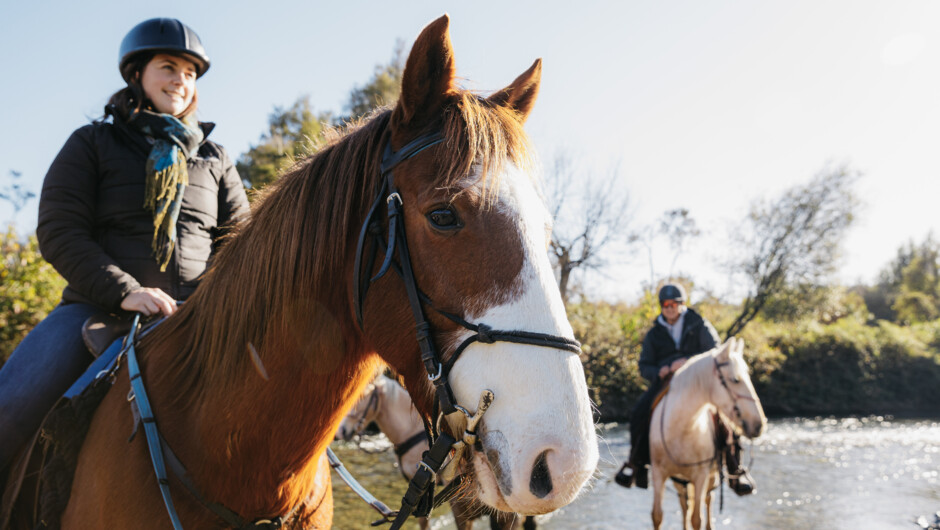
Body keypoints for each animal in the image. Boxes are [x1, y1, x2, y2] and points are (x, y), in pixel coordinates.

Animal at [648, 338, 768, 528]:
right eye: (735, 379)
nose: (759, 424)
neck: (683, 430)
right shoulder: (659, 473)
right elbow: (658, 516)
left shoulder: (700, 475)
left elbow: (697, 518)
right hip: (680, 479)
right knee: (684, 503)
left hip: (710, 475)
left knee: (707, 499)